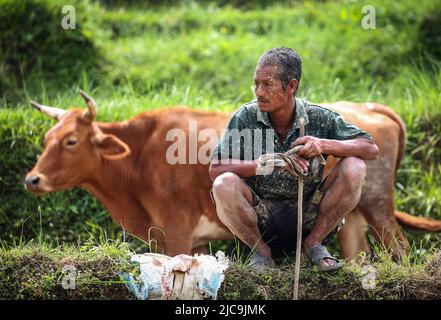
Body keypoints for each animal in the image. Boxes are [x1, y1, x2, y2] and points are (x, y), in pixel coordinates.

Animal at [24, 92, 440, 260]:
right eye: (47, 138)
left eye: (71, 141)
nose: (32, 180)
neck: (139, 155)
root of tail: (367, 105)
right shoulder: (185, 240)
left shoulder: (176, 230)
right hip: (353, 217)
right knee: (359, 252)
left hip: (377, 205)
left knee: (399, 247)